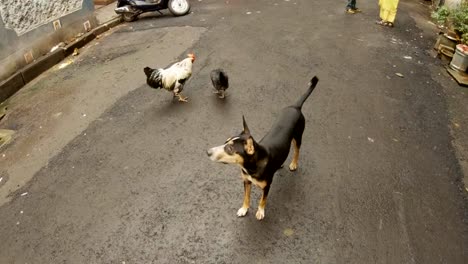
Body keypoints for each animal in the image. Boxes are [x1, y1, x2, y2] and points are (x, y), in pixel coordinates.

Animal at [207, 75, 320, 220]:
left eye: (230, 149)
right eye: (225, 142)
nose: (208, 152)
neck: (251, 165)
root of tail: (295, 107)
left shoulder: (266, 186)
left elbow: (263, 200)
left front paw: (260, 211)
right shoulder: (246, 182)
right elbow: (246, 197)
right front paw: (244, 209)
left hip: (298, 136)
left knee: (297, 150)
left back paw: (294, 164)